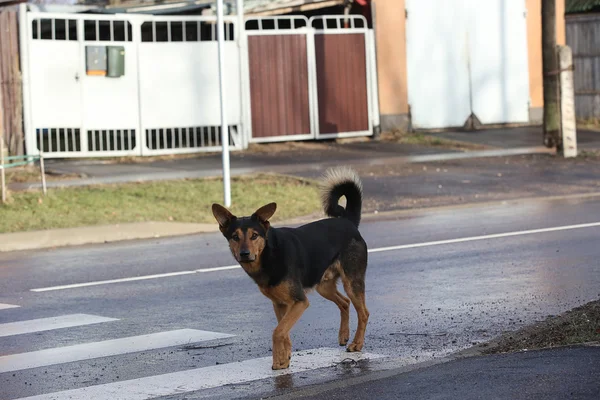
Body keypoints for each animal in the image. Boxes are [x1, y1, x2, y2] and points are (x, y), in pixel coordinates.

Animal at [211, 167, 370, 370]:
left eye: (254, 236)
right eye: (235, 237)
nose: (244, 254)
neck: (269, 254)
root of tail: (348, 221)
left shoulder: (300, 301)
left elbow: (278, 331)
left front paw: (279, 362)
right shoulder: (280, 304)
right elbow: (283, 331)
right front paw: (284, 359)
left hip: (352, 282)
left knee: (364, 312)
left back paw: (357, 343)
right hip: (323, 286)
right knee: (345, 302)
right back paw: (343, 335)